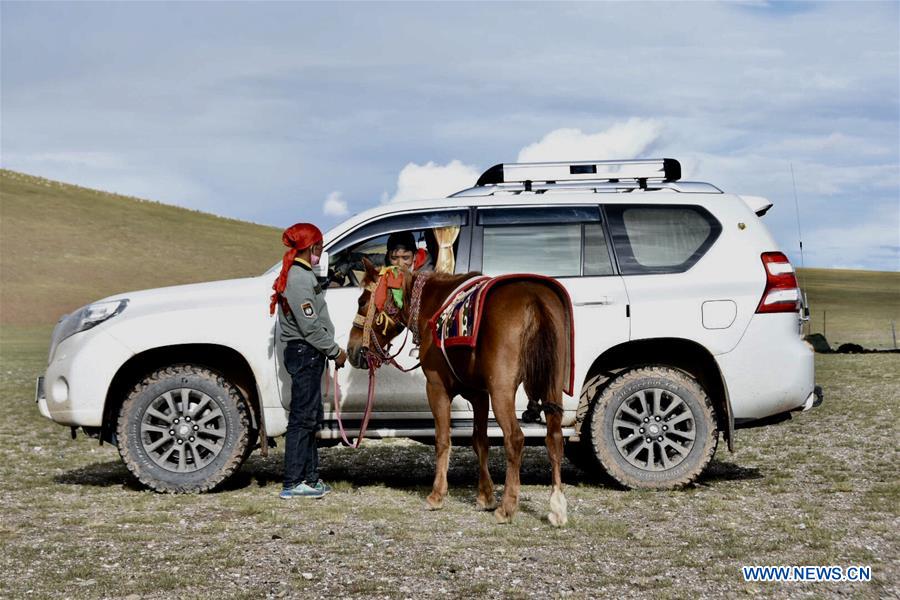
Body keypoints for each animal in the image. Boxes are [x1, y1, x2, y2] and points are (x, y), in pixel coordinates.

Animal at [346, 258, 572, 526]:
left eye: (362, 301)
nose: (351, 349)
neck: (432, 307)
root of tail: (534, 298)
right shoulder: (479, 394)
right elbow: (480, 441)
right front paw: (485, 495)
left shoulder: (437, 388)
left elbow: (443, 440)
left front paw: (437, 494)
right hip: (552, 386)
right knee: (554, 437)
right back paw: (556, 506)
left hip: (502, 391)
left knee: (515, 438)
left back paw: (507, 507)